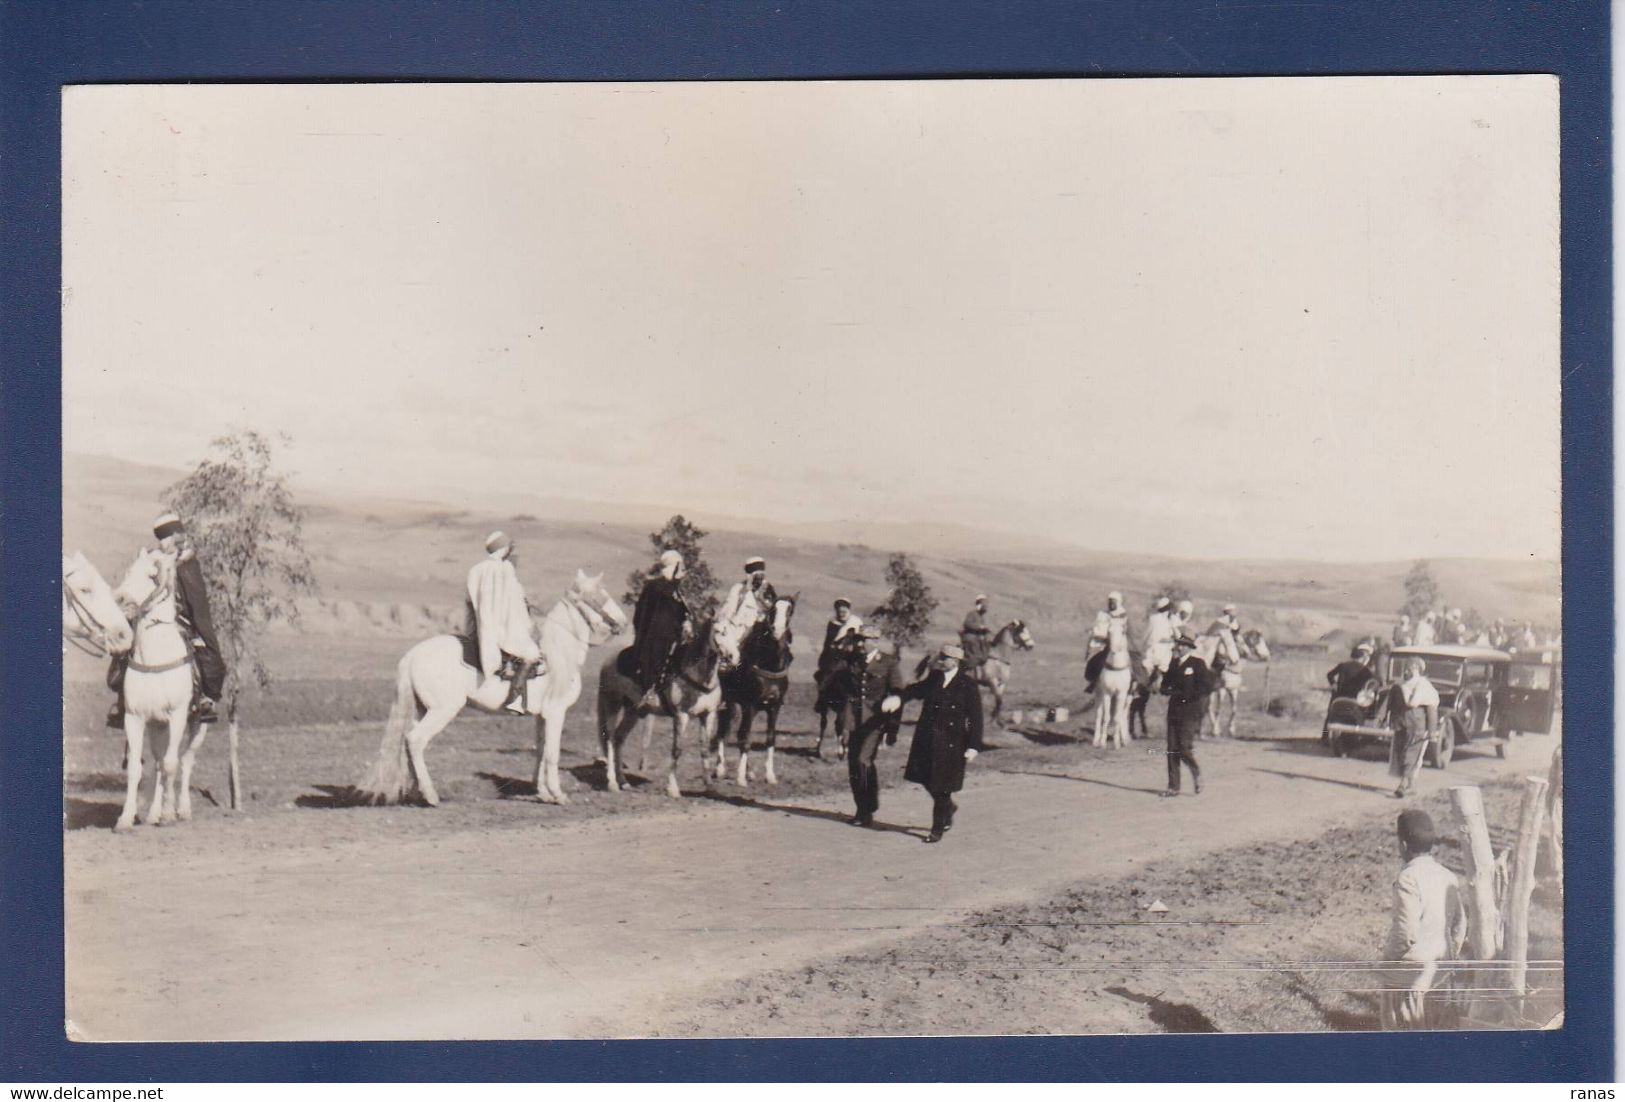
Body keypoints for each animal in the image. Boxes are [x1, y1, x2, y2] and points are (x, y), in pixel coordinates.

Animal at [109, 549, 209, 832]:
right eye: (128, 571)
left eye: (151, 575)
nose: (119, 599)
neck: (154, 657)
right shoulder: (135, 718)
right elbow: (136, 768)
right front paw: (126, 818)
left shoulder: (177, 716)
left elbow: (172, 765)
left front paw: (168, 814)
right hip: (157, 726)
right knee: (157, 763)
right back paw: (153, 813)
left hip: (198, 726)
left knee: (184, 761)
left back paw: (180, 809)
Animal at [359, 575, 624, 806]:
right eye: (601, 596)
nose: (622, 622)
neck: (558, 655)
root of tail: (413, 655)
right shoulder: (556, 712)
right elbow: (552, 754)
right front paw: (558, 795)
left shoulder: (542, 716)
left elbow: (540, 751)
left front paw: (543, 793)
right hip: (442, 711)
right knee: (415, 740)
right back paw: (430, 795)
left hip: (423, 709)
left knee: (408, 742)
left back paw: (417, 792)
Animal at [715, 594, 796, 786]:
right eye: (773, 609)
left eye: (790, 610)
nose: (777, 629)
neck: (770, 664)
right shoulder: (749, 706)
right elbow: (745, 739)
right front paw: (740, 778)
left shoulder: (774, 707)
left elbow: (770, 738)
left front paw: (770, 775)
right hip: (728, 702)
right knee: (722, 732)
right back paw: (720, 769)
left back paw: (748, 771)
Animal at [1092, 620, 1131, 750]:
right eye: (1109, 632)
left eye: (1123, 631)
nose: (1114, 649)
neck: (1116, 668)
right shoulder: (1107, 693)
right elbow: (1106, 717)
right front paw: (1102, 742)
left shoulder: (1121, 694)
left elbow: (1117, 717)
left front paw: (1117, 743)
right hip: (1098, 693)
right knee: (1099, 715)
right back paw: (1095, 740)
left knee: (1123, 715)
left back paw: (1124, 740)